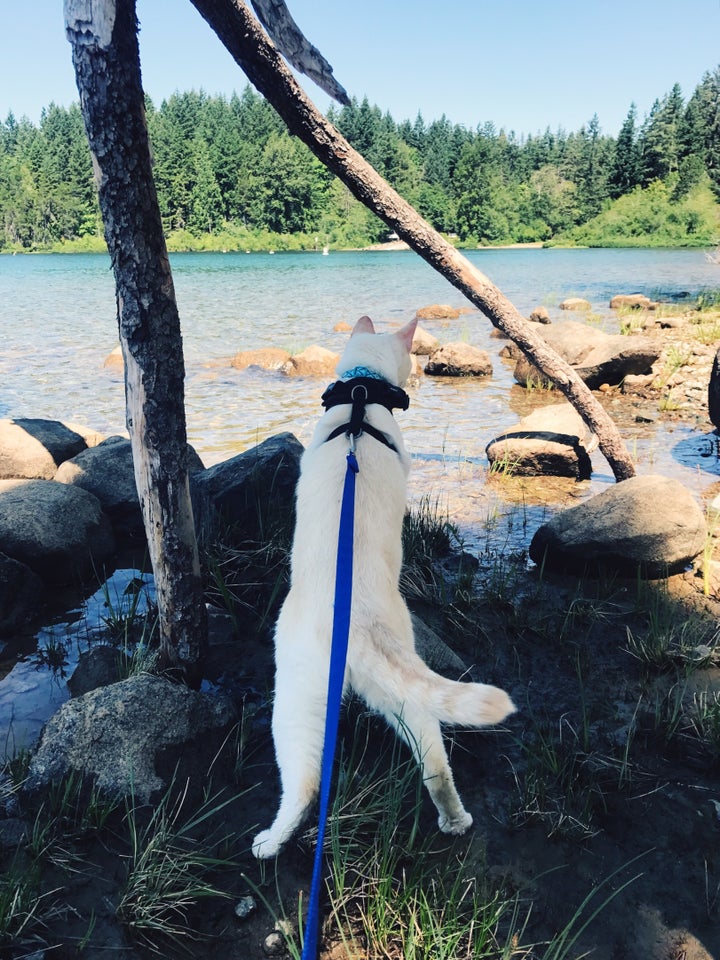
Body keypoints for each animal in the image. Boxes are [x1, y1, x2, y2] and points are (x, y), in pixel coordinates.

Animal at [250, 316, 516, 864]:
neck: (360, 396)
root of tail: (356, 624)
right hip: (379, 701)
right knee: (431, 766)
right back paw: (454, 822)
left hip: (296, 701)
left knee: (308, 783)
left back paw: (270, 841)